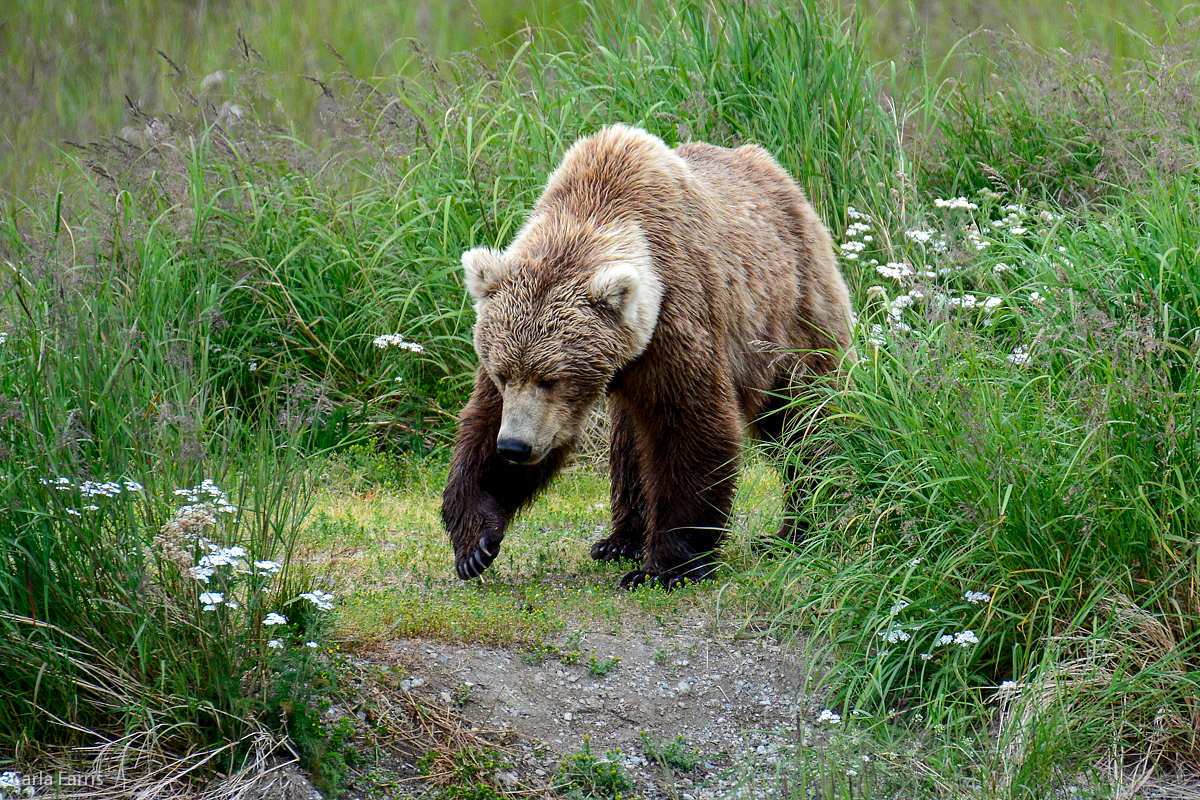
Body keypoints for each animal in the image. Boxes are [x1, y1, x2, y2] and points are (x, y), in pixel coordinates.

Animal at [444, 125, 854, 587]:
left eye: (551, 378)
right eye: (503, 374)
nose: (515, 446)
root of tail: (785, 181)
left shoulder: (675, 318)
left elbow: (688, 427)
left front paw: (666, 568)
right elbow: (482, 425)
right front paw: (475, 544)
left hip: (789, 314)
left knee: (806, 418)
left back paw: (801, 529)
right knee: (630, 444)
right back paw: (619, 541)